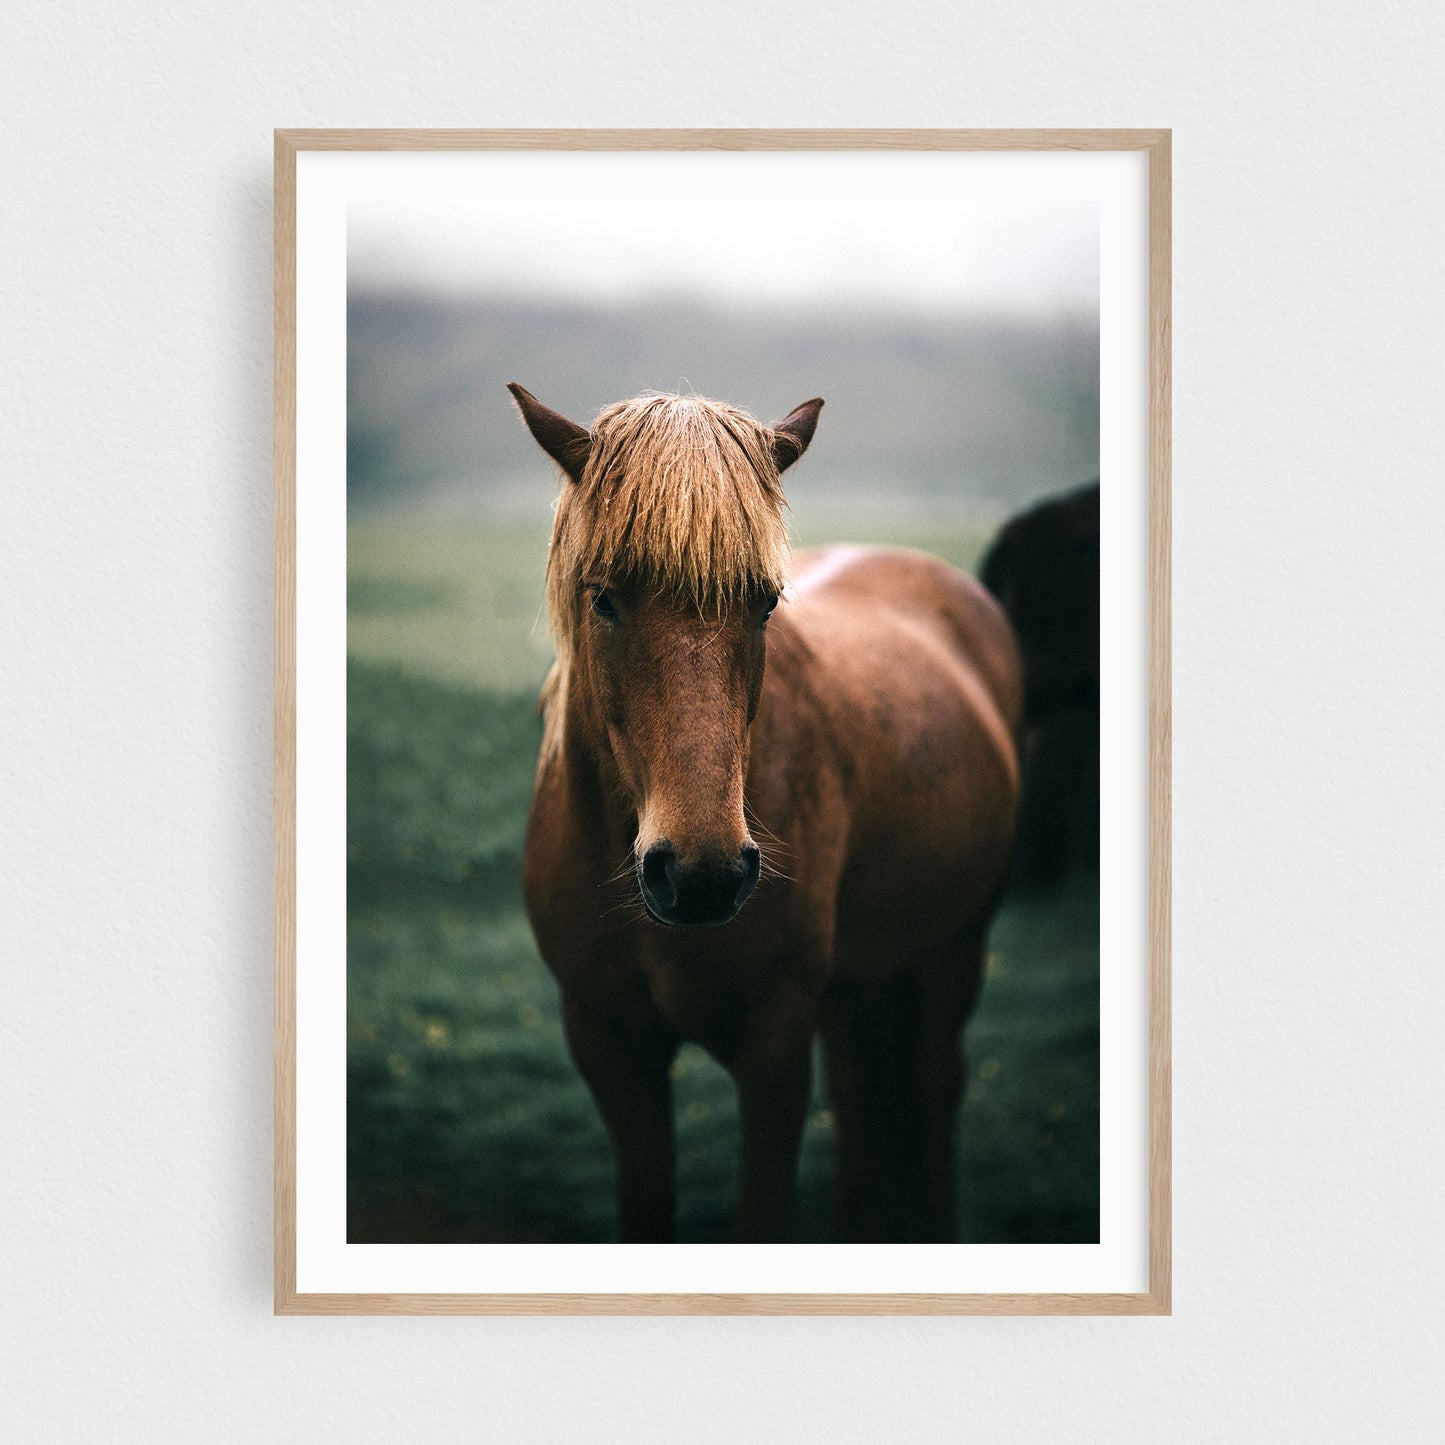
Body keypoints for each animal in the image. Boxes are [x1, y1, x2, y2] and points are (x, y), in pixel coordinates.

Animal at [508, 384, 1022, 1243]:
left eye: (764, 603)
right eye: (603, 597)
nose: (702, 875)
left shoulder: (775, 1045)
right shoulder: (609, 1043)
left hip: (954, 944)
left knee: (932, 1087)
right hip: (853, 979)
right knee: (858, 1096)